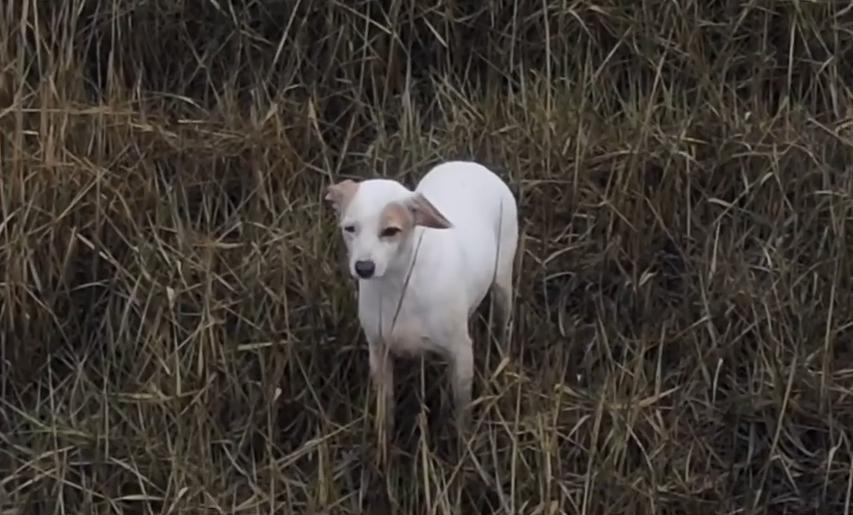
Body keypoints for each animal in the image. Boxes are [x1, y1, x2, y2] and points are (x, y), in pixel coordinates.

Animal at [322, 160, 516, 432]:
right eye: (350, 229)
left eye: (391, 231)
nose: (364, 268)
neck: (400, 286)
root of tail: (470, 164)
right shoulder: (379, 351)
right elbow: (385, 408)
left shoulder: (461, 352)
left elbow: (462, 411)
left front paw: (464, 440)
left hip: (502, 285)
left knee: (502, 324)